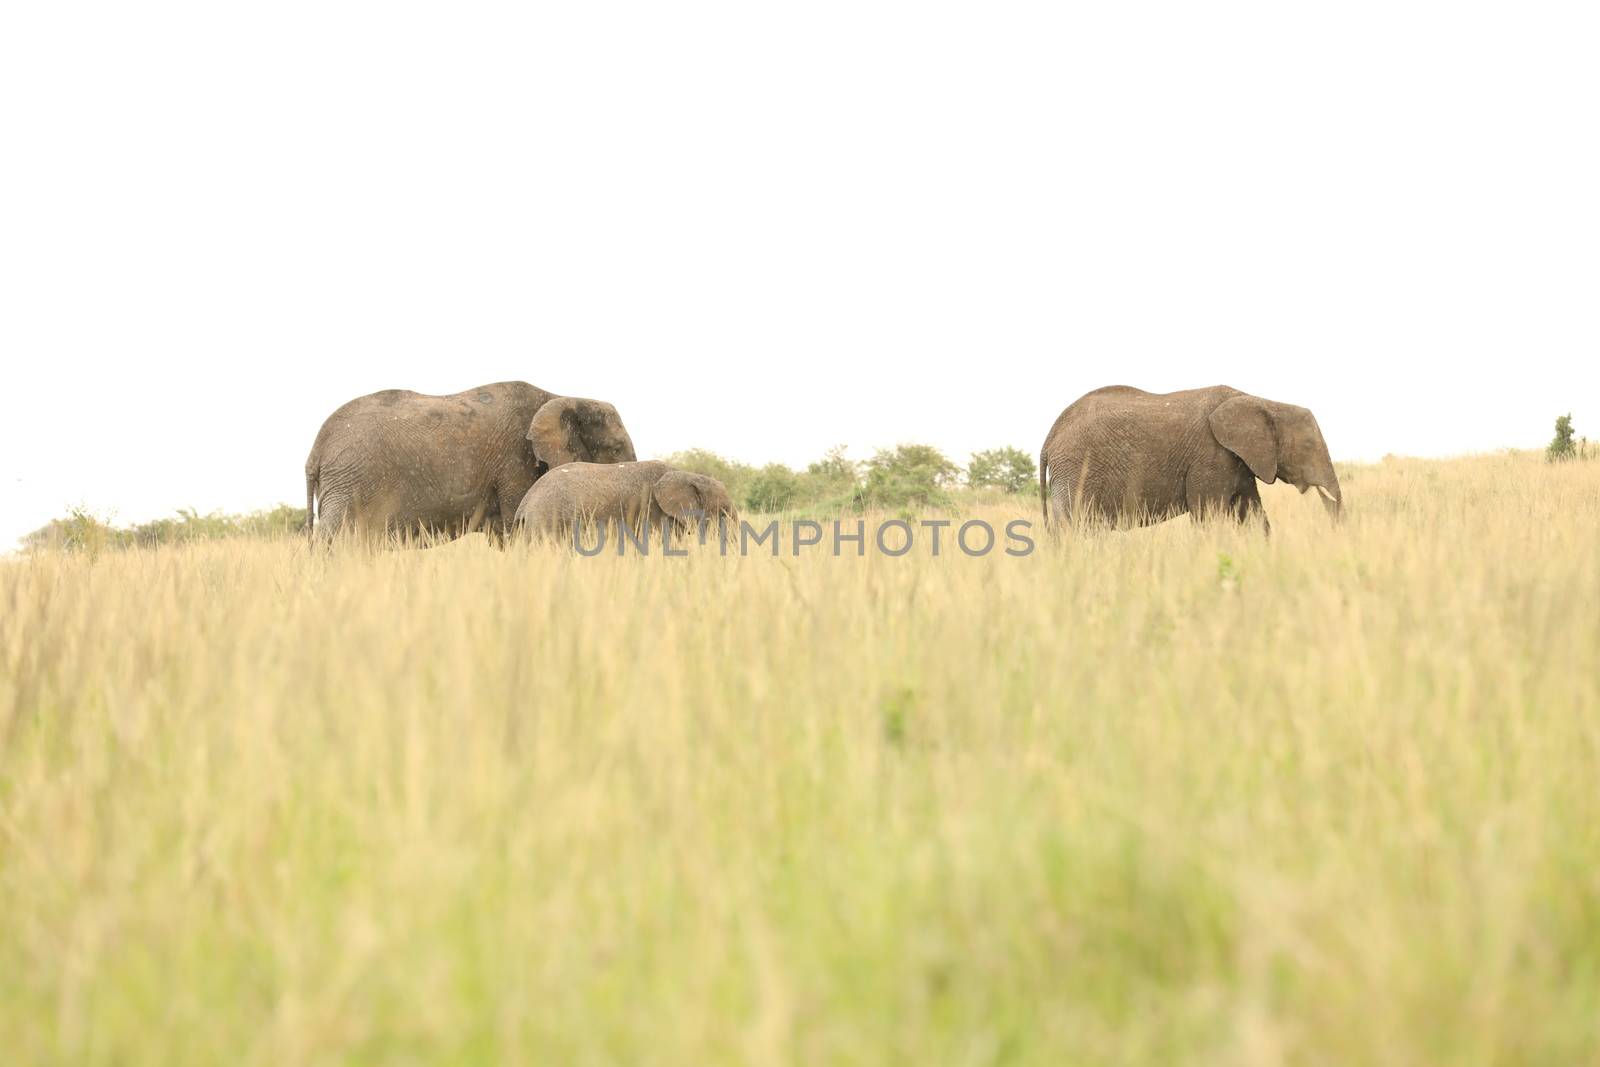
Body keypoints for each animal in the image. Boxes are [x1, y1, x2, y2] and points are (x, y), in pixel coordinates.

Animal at [1043, 385, 1344, 531]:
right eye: (1308, 445)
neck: (1262, 402)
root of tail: (1051, 435)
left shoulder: (1238, 461)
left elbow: (1253, 514)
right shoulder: (1211, 458)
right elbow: (1207, 517)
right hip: (1075, 470)